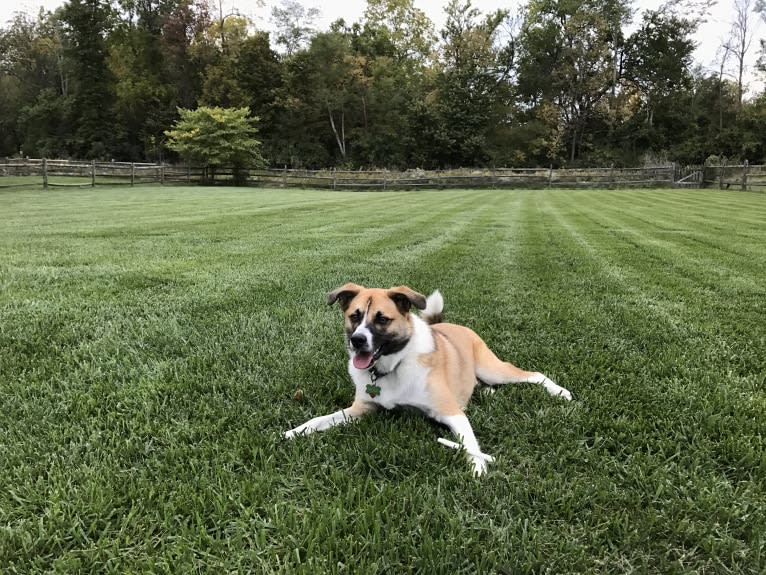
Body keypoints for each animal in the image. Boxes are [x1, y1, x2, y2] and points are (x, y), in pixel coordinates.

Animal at [284, 284, 572, 476]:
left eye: (382, 319)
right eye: (354, 315)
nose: (357, 341)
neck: (394, 366)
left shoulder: (451, 411)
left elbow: (468, 442)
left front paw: (478, 465)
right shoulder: (361, 409)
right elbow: (320, 420)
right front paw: (296, 431)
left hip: (493, 368)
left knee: (533, 375)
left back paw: (559, 392)